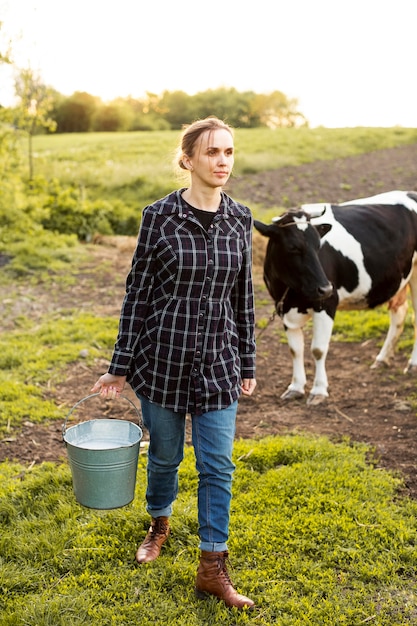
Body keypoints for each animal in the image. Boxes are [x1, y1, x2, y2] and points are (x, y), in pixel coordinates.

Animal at [254, 190, 417, 404]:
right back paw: (382, 359)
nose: (324, 288)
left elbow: (318, 349)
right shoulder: (282, 306)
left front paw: (318, 391)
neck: (292, 292)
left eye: (318, 246)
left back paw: (412, 364)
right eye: (293, 247)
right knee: (399, 313)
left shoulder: (327, 303)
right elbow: (295, 349)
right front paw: (295, 388)